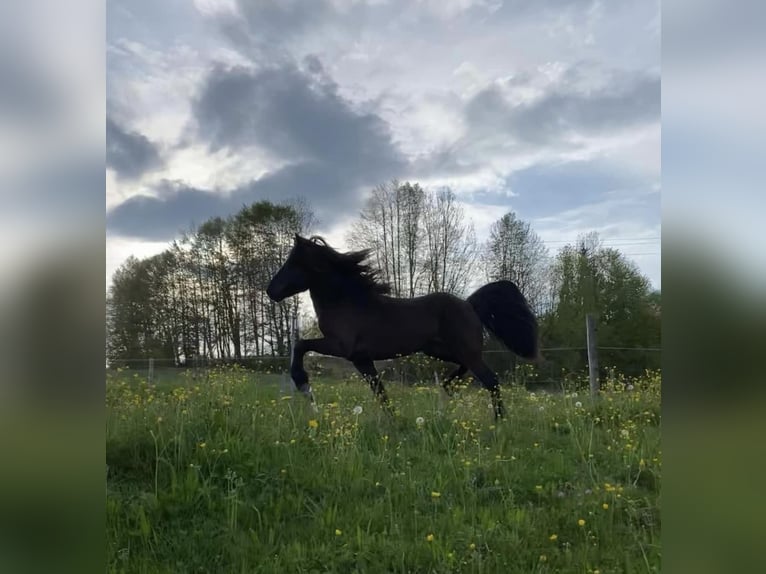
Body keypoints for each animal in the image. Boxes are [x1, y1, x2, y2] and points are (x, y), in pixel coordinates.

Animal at [268, 234, 544, 418]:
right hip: (440, 350)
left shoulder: (341, 347)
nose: (271, 291)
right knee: (468, 370)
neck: (347, 301)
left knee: (491, 381)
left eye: (292, 262)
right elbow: (380, 392)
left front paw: (304, 385)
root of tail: (469, 304)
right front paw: (394, 423)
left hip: (462, 351)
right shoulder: (361, 359)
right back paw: (448, 387)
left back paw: (499, 423)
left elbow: (301, 345)